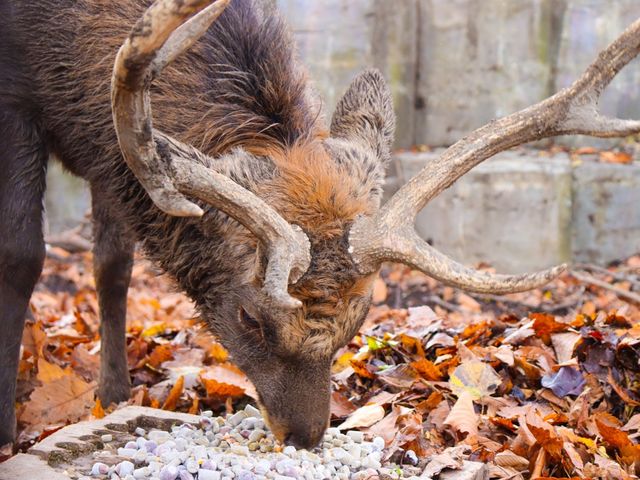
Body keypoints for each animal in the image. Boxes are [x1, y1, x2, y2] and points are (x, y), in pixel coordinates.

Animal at [0, 0, 636, 450]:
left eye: (359, 323)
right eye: (249, 318)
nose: (304, 438)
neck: (68, 65)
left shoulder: (109, 154)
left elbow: (112, 264)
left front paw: (114, 397)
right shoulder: (18, 100)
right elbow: (22, 254)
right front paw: (7, 432)